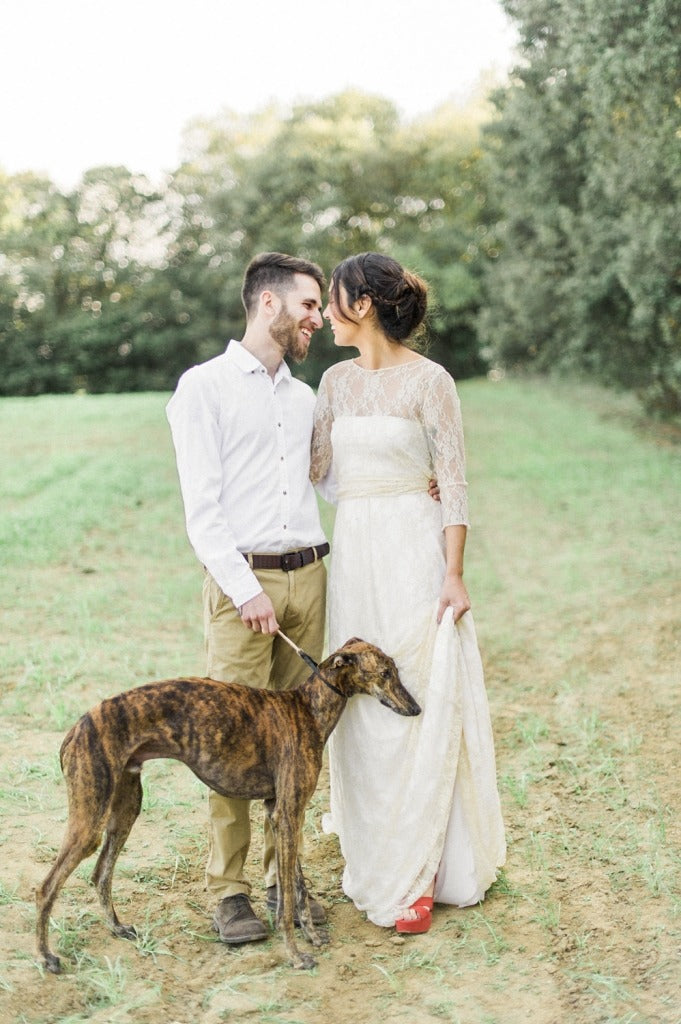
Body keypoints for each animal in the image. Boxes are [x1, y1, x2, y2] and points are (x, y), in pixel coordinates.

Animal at [37, 634, 421, 970]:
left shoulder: (279, 811)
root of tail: (75, 729)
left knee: (101, 873)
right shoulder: (289, 813)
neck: (308, 709)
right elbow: (286, 901)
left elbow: (296, 888)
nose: (417, 709)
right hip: (89, 818)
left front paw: (311, 937)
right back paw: (46, 958)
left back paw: (117, 928)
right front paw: (296, 956)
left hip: (125, 809)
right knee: (46, 886)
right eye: (386, 673)